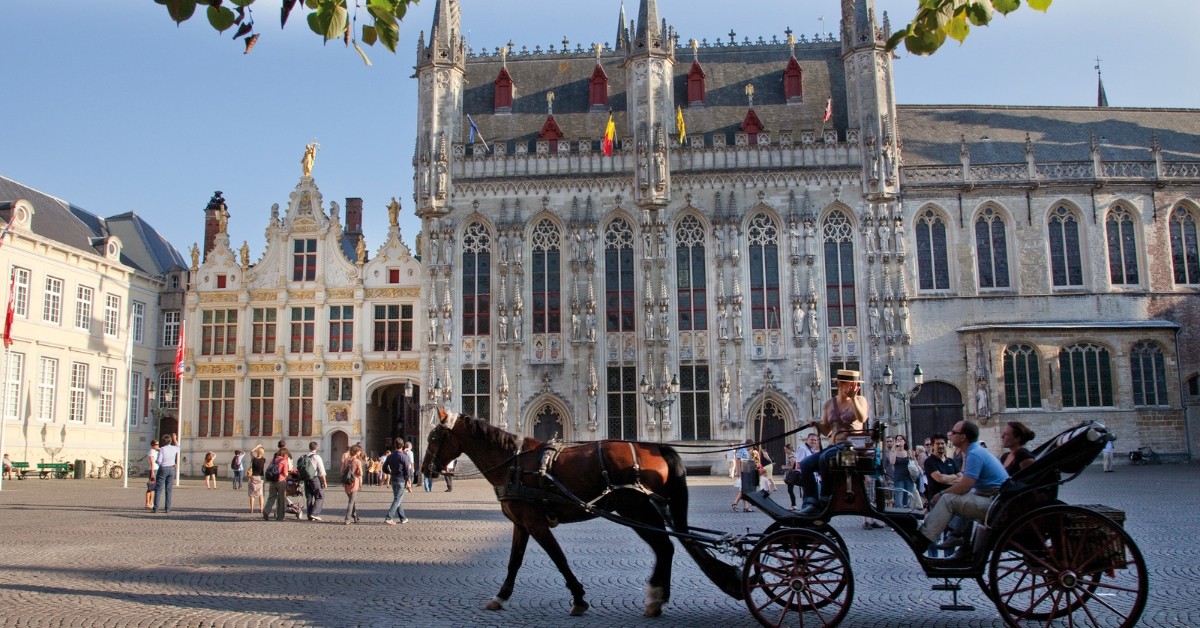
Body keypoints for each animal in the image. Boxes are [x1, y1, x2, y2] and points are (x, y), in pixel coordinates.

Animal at [420, 408, 739, 619]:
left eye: (435, 437)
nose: (424, 470)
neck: (512, 462)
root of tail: (659, 446)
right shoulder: (521, 524)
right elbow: (514, 562)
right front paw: (500, 596)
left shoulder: (535, 523)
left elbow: (558, 558)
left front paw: (579, 598)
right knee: (667, 548)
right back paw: (658, 599)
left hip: (637, 509)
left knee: (665, 547)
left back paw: (655, 597)